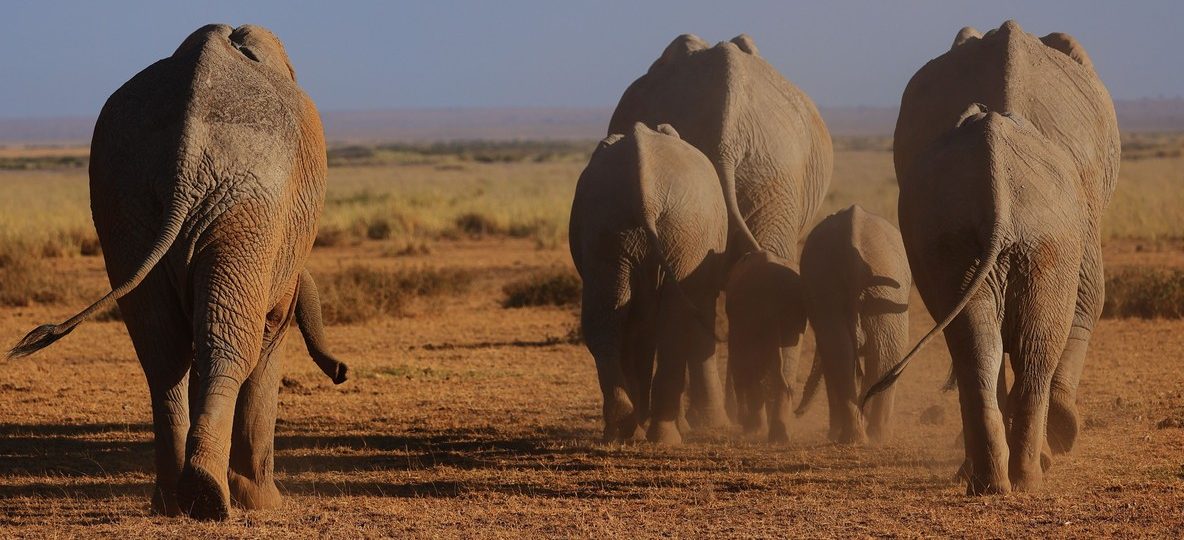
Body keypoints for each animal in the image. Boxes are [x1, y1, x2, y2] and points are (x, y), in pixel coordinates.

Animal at [8, 24, 348, 520]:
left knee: (162, 348)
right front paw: (263, 503)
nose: (342, 372)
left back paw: (177, 498)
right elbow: (269, 339)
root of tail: (186, 157)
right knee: (228, 345)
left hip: (127, 201)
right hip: (247, 207)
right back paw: (210, 498)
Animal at [569, 122, 728, 445]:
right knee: (672, 326)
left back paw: (620, 430)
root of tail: (646, 192)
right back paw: (662, 436)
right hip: (682, 233)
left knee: (605, 318)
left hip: (610, 227)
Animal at [794, 205, 910, 445]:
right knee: (873, 354)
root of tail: (854, 266)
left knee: (848, 353)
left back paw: (862, 437)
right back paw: (869, 437)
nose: (796, 413)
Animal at [866, 21, 1120, 495]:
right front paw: (1062, 434)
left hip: (971, 235)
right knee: (1027, 344)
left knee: (981, 343)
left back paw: (994, 482)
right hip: (1042, 233)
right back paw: (1024, 476)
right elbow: (1089, 299)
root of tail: (996, 168)